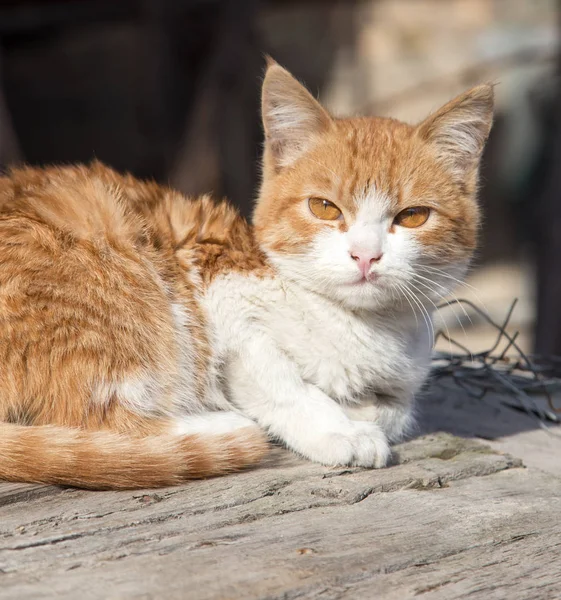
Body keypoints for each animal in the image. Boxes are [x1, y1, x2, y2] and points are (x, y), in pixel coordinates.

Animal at [0, 59, 490, 488]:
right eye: (324, 207)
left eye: (413, 217)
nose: (365, 256)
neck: (360, 327)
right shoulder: (217, 286)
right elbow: (281, 380)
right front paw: (340, 429)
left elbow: (398, 408)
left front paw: (365, 411)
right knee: (97, 417)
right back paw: (218, 426)